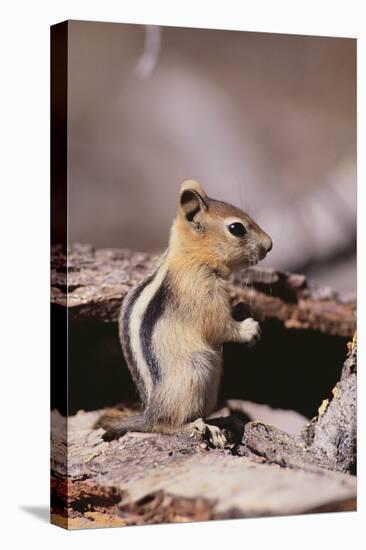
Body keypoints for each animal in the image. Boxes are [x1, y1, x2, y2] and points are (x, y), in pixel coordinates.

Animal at [100, 181, 272, 448]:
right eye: (237, 228)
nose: (270, 244)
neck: (192, 258)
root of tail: (150, 414)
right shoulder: (203, 299)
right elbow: (219, 326)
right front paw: (248, 329)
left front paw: (244, 308)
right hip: (194, 375)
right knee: (167, 425)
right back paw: (201, 427)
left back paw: (226, 420)